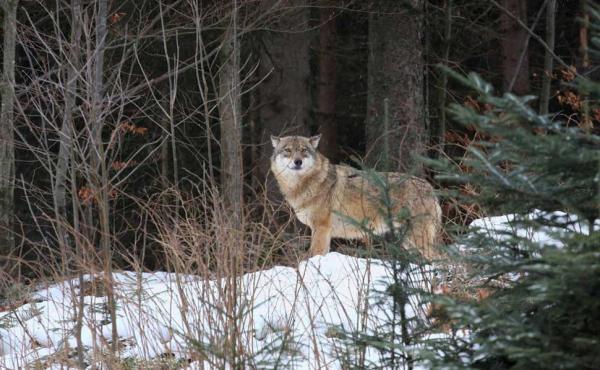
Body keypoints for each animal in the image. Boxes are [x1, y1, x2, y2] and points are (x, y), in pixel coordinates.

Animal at [270, 134, 440, 258]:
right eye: (287, 150)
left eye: (304, 150)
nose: (297, 162)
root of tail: (430, 188)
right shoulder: (323, 232)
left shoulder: (321, 228)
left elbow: (315, 255)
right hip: (408, 240)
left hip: (417, 239)